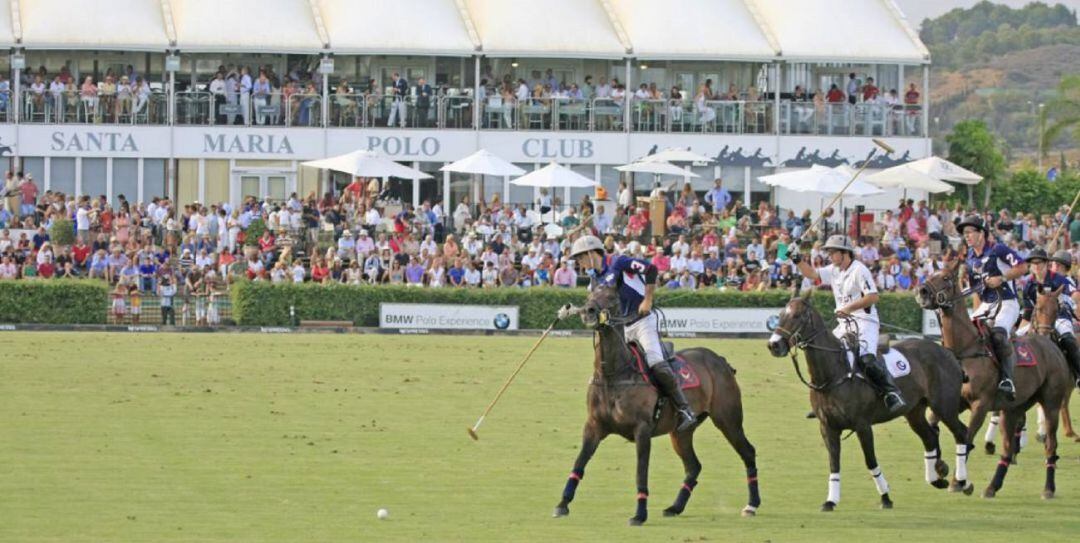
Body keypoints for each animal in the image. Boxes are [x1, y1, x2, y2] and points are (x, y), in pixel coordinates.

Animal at [552, 287, 764, 524]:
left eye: (612, 297)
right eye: (589, 296)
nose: (589, 311)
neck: (613, 374)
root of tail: (719, 359)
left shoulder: (642, 430)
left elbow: (640, 472)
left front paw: (639, 514)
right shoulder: (593, 426)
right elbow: (579, 464)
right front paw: (562, 504)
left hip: (728, 419)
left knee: (748, 452)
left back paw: (752, 505)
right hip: (680, 432)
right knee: (694, 466)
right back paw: (675, 507)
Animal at [768, 289, 972, 509]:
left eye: (797, 316)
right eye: (780, 315)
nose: (774, 345)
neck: (833, 374)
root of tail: (947, 352)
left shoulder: (862, 425)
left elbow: (870, 460)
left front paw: (885, 497)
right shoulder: (827, 427)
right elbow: (833, 463)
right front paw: (830, 501)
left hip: (944, 405)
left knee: (961, 432)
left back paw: (962, 481)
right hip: (914, 411)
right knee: (930, 437)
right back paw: (936, 479)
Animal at [920, 261, 1071, 498]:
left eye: (945, 277)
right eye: (930, 273)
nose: (923, 291)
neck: (964, 350)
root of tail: (1051, 345)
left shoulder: (980, 405)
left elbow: (967, 438)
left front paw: (957, 481)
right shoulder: (953, 401)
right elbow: (933, 423)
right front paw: (941, 467)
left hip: (1051, 403)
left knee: (1051, 445)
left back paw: (1048, 488)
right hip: (1014, 408)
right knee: (1008, 448)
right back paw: (992, 486)